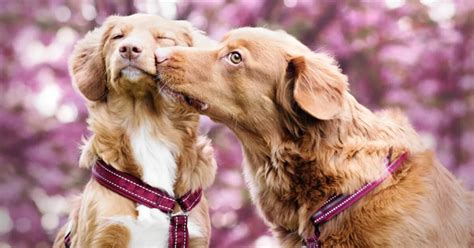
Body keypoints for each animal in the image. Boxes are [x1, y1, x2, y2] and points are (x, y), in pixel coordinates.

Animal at [52, 14, 216, 248]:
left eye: (164, 38)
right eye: (118, 36)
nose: (129, 49)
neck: (146, 125)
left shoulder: (194, 236)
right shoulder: (102, 233)